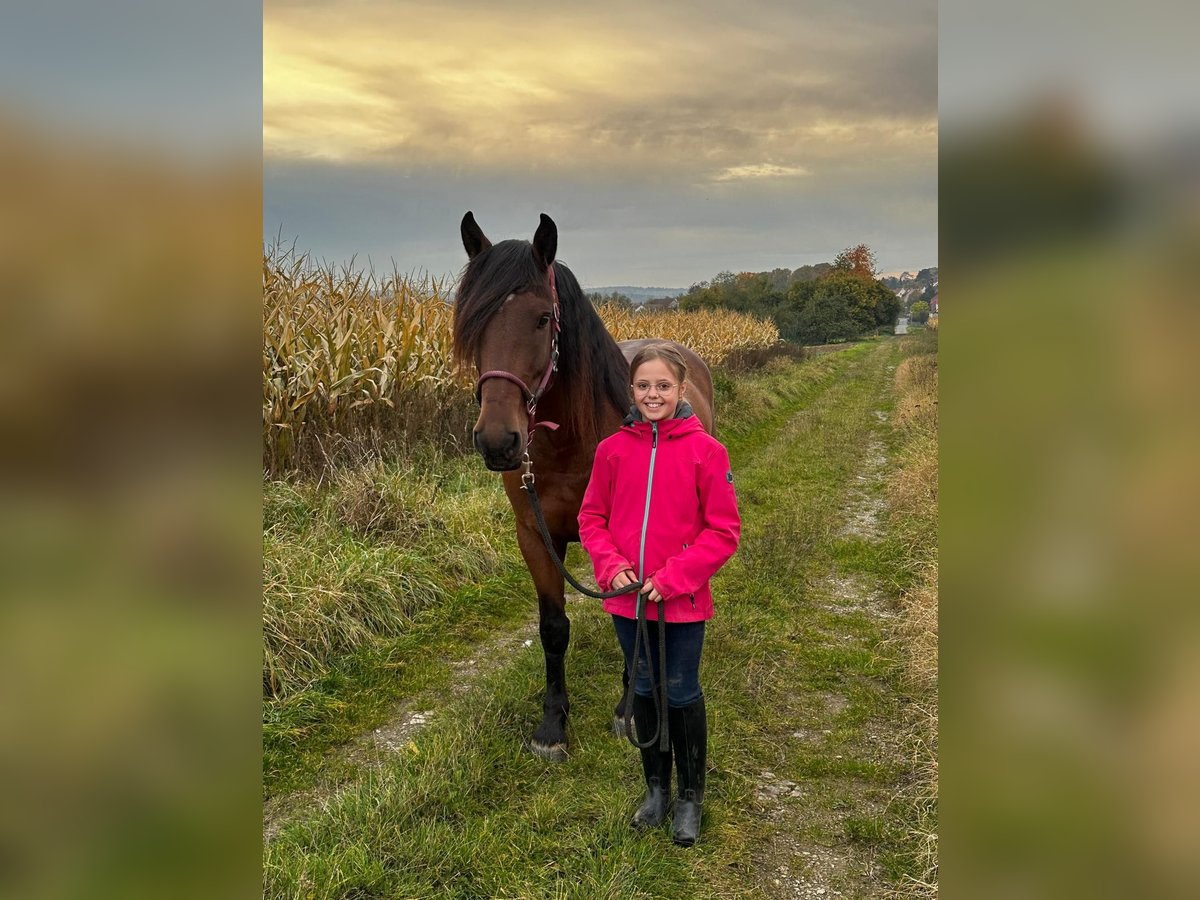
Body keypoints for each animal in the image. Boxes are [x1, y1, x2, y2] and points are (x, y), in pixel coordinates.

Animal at [451, 213, 710, 763]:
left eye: (542, 319)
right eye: (470, 321)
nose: (498, 441)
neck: (570, 442)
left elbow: (633, 620)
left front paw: (628, 710)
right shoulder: (536, 537)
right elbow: (553, 629)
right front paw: (553, 724)